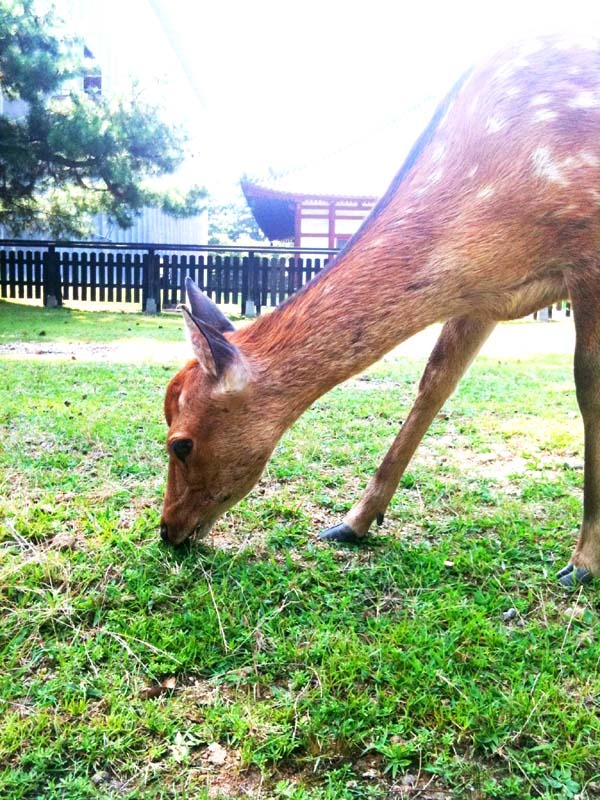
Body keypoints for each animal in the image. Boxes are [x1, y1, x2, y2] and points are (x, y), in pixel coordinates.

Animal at [161, 36, 600, 588]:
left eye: (180, 443)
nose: (167, 530)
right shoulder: (484, 298)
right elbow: (434, 382)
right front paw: (353, 522)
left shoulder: (589, 256)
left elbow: (589, 389)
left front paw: (583, 561)